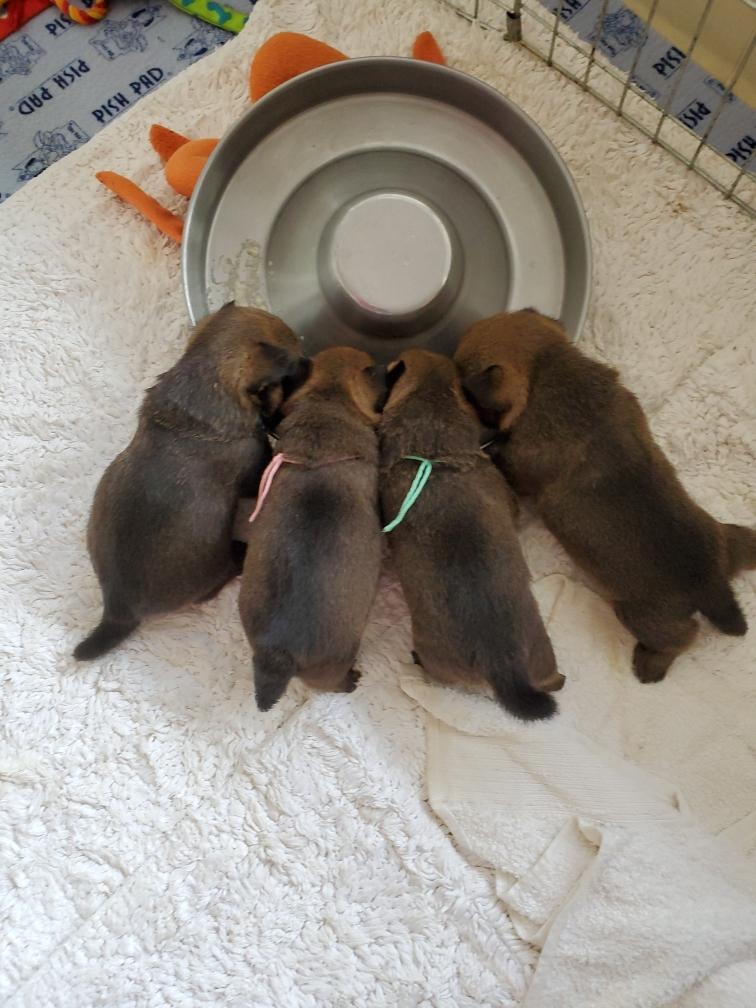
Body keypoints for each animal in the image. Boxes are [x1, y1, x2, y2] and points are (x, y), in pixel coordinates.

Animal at [74, 303, 305, 660]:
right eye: (284, 378)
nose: (308, 360)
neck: (205, 380)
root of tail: (117, 612)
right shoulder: (254, 469)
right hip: (212, 571)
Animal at [455, 309, 756, 683]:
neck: (548, 368)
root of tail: (713, 584)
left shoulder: (523, 464)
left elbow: (508, 461)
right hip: (728, 536)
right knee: (744, 542)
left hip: (641, 615)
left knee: (684, 638)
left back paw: (650, 665)